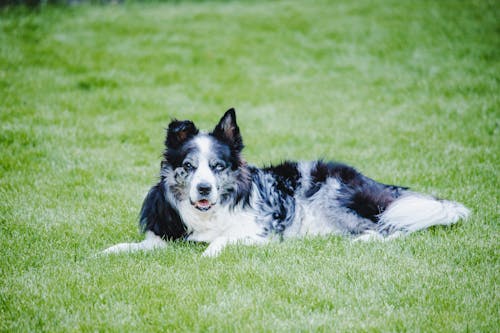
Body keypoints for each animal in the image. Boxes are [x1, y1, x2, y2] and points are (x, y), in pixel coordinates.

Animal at [103, 109, 470, 256]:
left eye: (217, 166)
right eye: (189, 167)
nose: (204, 189)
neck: (208, 214)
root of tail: (374, 182)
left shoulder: (259, 233)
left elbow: (220, 240)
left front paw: (209, 253)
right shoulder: (163, 237)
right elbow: (131, 246)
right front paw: (106, 252)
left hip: (335, 196)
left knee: (389, 228)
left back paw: (362, 241)